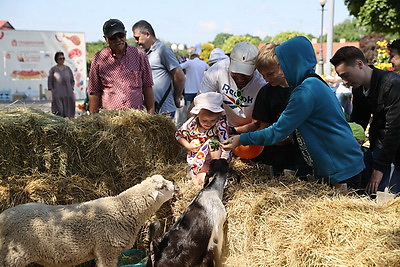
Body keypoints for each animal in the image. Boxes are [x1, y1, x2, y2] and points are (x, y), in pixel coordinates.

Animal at [0, 175, 179, 267]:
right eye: (163, 187)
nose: (176, 186)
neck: (123, 209)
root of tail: (3, 217)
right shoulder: (106, 250)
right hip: (13, 256)